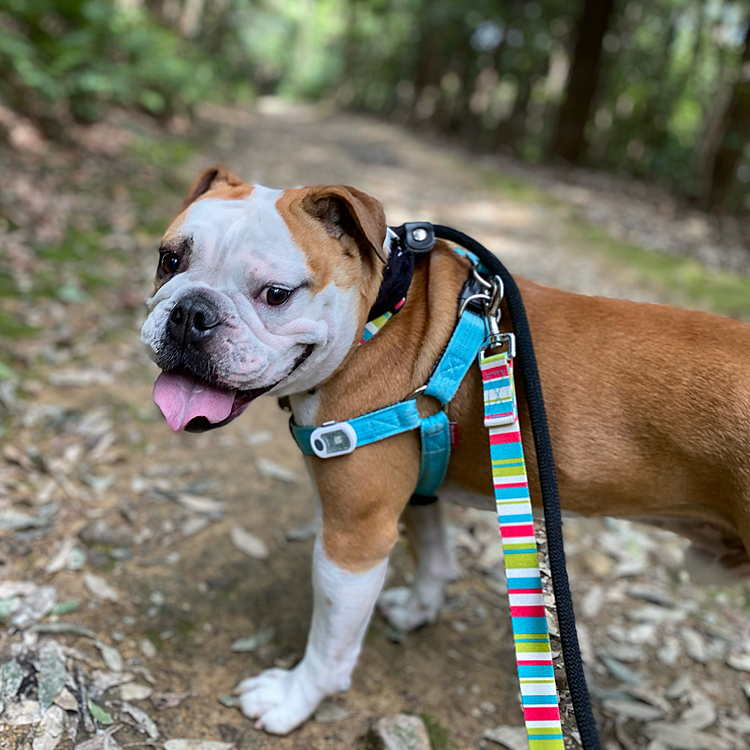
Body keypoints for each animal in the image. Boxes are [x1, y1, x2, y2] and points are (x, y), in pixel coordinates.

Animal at [140, 167, 750, 736]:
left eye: (275, 294)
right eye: (169, 260)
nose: (191, 313)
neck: (381, 313)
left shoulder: (354, 538)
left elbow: (330, 643)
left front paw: (295, 698)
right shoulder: (418, 495)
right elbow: (434, 556)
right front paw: (418, 610)